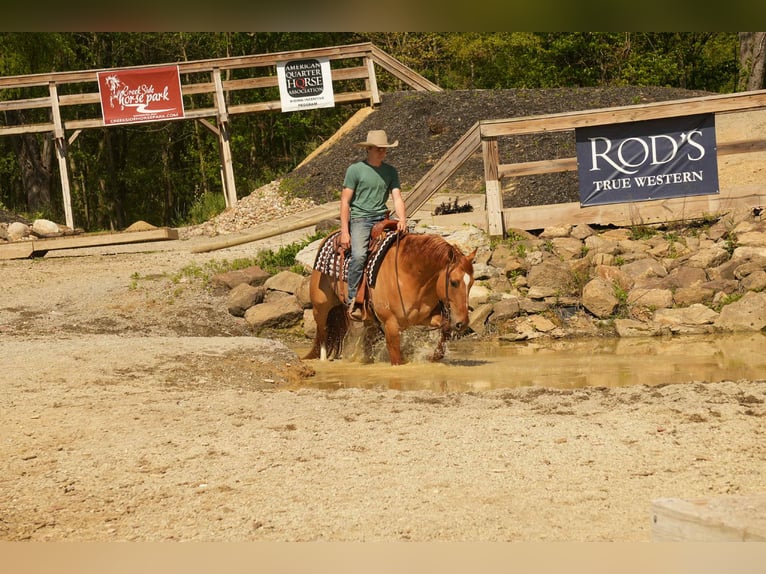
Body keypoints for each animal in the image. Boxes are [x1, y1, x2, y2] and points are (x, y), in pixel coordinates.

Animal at [304, 230, 476, 365]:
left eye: (472, 283)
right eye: (453, 282)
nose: (462, 323)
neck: (409, 276)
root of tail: (330, 236)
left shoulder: (424, 317)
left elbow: (445, 329)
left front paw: (434, 356)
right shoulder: (391, 326)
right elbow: (396, 359)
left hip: (368, 319)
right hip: (321, 307)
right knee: (322, 333)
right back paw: (323, 359)